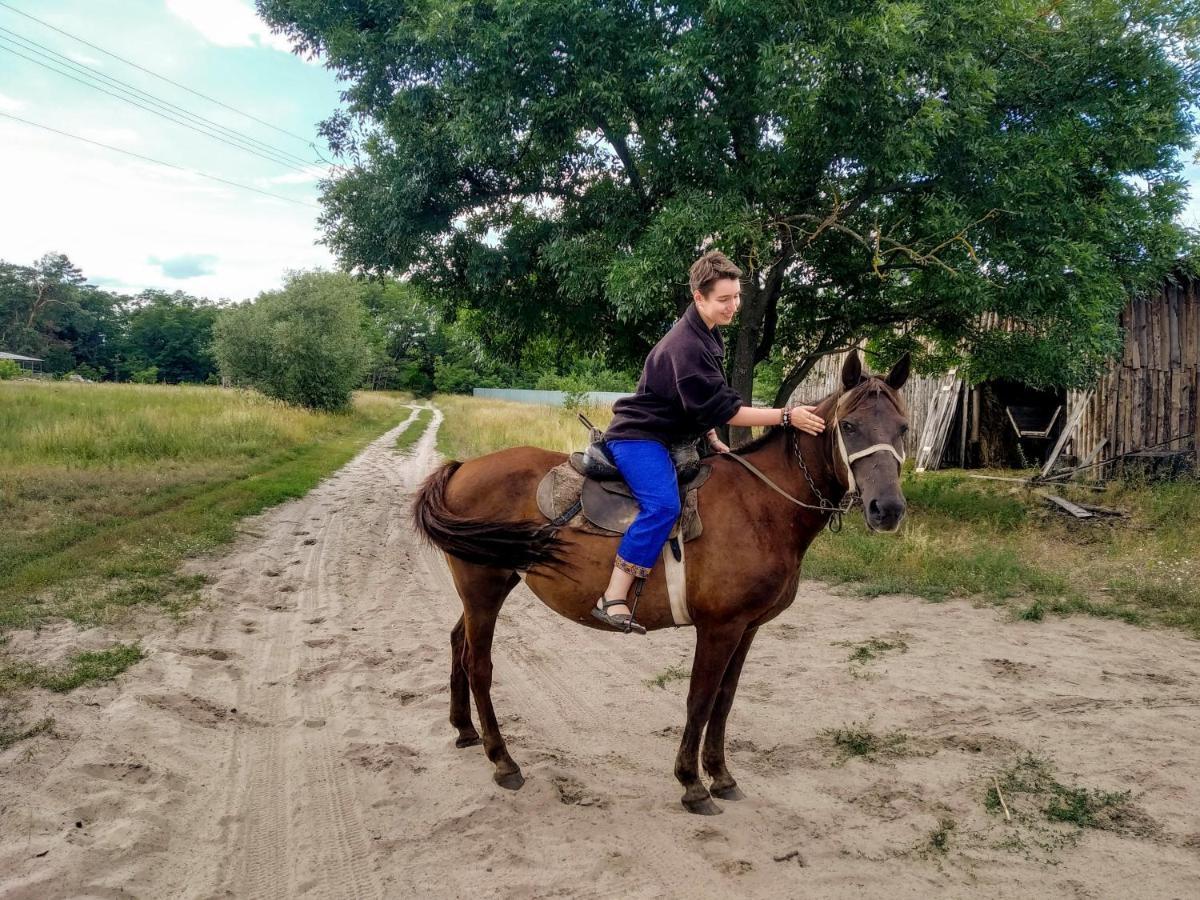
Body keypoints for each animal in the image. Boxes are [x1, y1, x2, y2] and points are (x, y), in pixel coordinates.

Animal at [412, 352, 907, 816]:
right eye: (850, 425)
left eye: (902, 427)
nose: (887, 509)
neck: (760, 505)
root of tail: (461, 469)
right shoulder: (720, 628)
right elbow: (700, 699)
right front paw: (692, 783)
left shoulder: (747, 628)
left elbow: (725, 700)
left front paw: (721, 775)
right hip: (483, 588)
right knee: (479, 664)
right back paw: (503, 760)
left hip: (490, 587)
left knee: (457, 642)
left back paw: (465, 730)